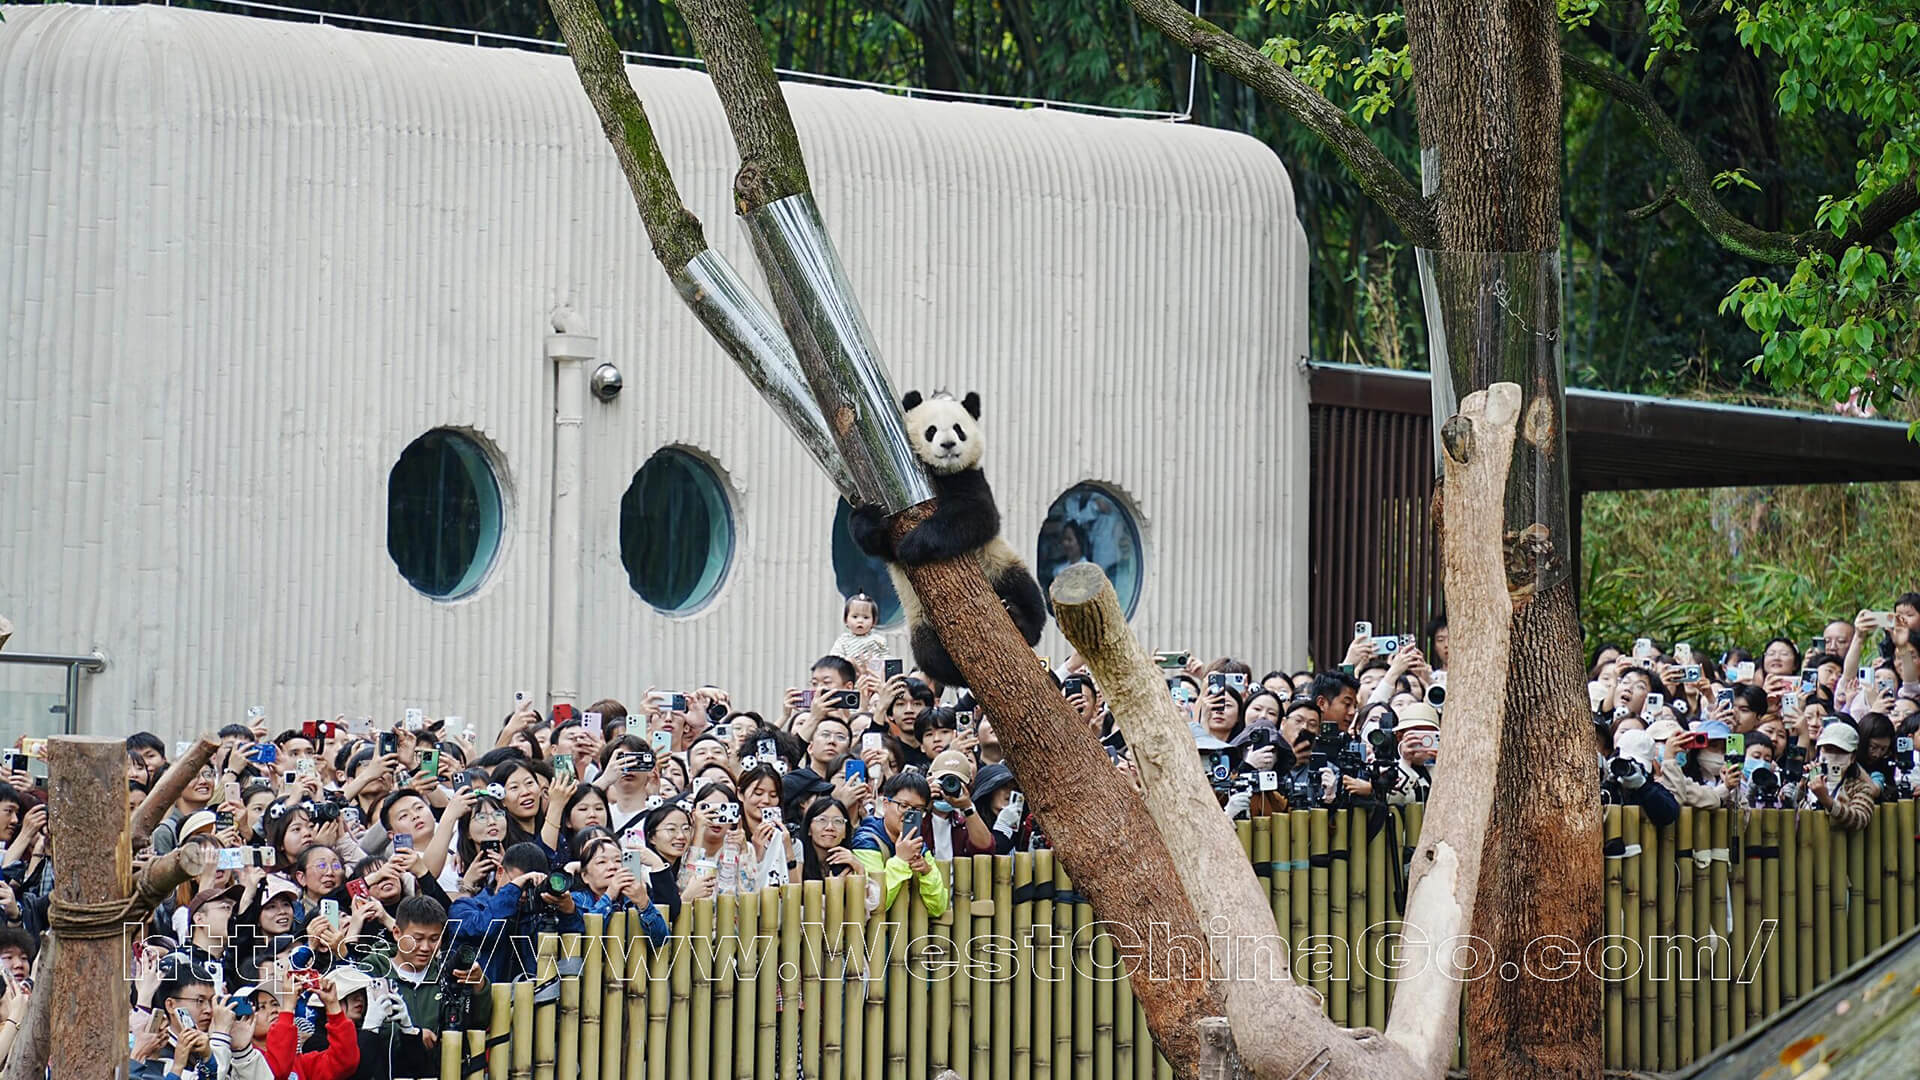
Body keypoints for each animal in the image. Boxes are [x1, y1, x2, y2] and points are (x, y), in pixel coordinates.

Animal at [848, 390, 1044, 684]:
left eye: (958, 429)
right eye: (931, 431)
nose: (949, 444)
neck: (942, 474)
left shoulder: (971, 480)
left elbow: (977, 516)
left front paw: (913, 544)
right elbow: (875, 543)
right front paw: (870, 518)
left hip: (1000, 564)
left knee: (1028, 593)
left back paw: (1019, 618)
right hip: (919, 619)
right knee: (929, 654)